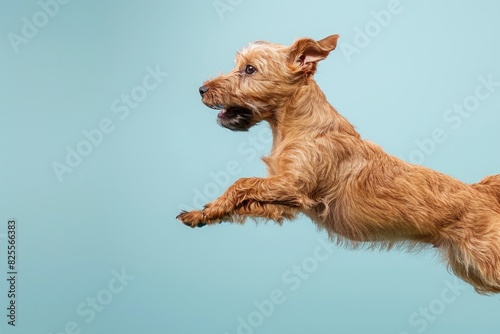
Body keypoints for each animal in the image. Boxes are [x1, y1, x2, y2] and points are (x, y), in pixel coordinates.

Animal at [178, 34, 500, 294]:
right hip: (470, 268)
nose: (201, 89)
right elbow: (244, 200)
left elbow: (241, 182)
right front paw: (204, 213)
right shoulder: (285, 203)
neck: (297, 127)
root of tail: (482, 191)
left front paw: (212, 206)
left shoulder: (293, 186)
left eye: (249, 69)